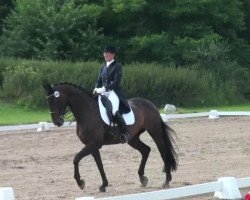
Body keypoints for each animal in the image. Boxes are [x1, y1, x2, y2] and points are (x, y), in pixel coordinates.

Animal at [43, 81, 179, 192]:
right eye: (48, 101)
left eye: (55, 100)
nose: (57, 122)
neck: (86, 111)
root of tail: (150, 104)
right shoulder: (92, 145)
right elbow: (99, 164)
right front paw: (103, 185)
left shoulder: (93, 144)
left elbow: (76, 158)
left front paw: (80, 182)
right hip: (133, 138)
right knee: (146, 150)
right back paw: (142, 178)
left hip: (155, 132)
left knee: (163, 152)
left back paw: (166, 181)